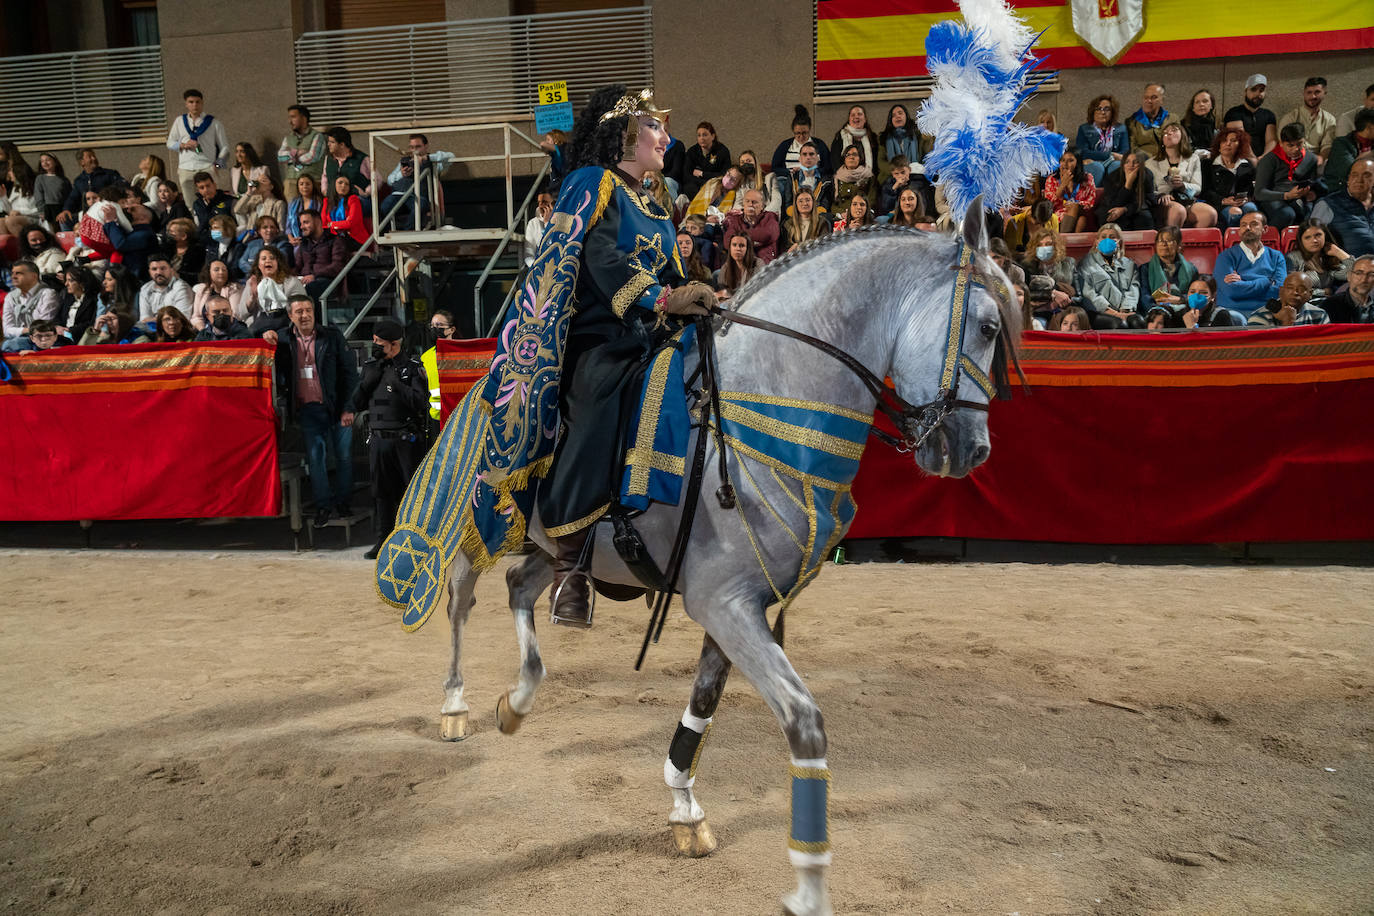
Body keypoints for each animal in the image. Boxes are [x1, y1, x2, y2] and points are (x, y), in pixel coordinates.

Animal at [434, 201, 1016, 916]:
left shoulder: (741, 604)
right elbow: (804, 722)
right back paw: (455, 706)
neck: (763, 406)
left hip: (550, 548)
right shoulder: (724, 603)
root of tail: (482, 390)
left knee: (522, 588)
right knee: (462, 598)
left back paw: (517, 701)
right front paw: (808, 882)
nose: (972, 450)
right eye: (987, 326)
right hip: (483, 529)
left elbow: (704, 702)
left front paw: (685, 808)